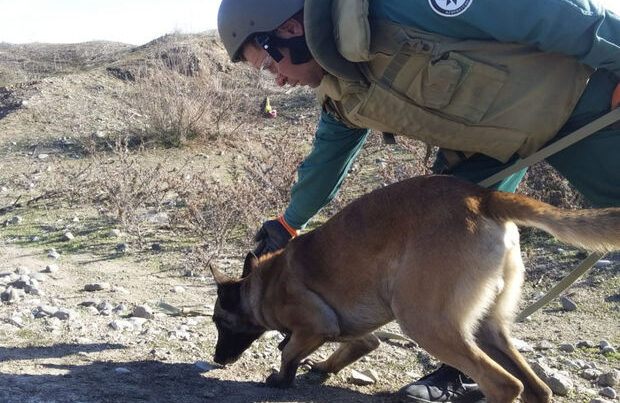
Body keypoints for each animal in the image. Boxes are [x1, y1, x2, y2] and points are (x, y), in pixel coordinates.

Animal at [209, 176, 620, 403]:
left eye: (219, 323)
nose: (216, 359)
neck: (261, 283)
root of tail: (482, 197)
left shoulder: (314, 326)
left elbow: (288, 351)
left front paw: (282, 379)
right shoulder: (359, 335)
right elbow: (350, 347)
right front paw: (323, 368)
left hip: (425, 323)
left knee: (504, 385)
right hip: (487, 329)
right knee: (536, 389)